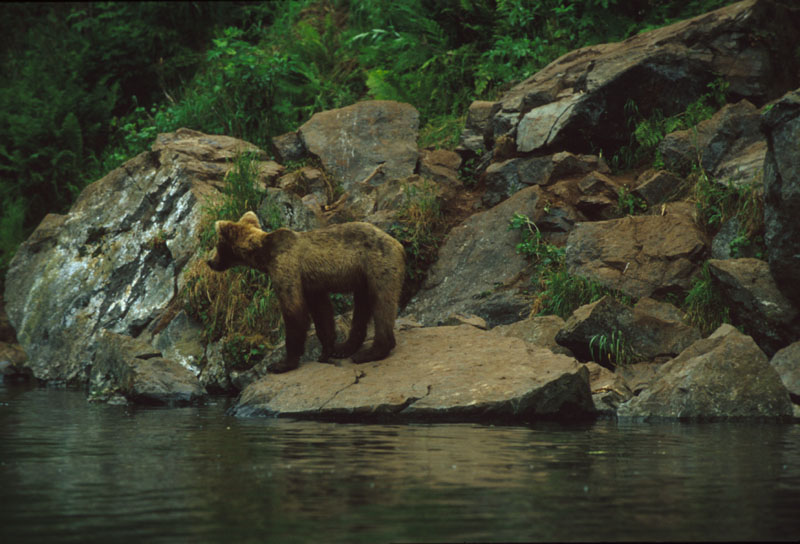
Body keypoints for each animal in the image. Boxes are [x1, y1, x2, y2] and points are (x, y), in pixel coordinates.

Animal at [206, 212, 406, 374]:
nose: (209, 261)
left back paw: (370, 352)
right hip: (363, 276)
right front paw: (327, 350)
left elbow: (294, 310)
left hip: (378, 263)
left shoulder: (286, 267)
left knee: (382, 302)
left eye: (217, 245)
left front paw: (281, 364)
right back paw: (345, 348)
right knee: (362, 306)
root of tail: (398, 243)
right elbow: (322, 312)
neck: (264, 255)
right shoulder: (312, 284)